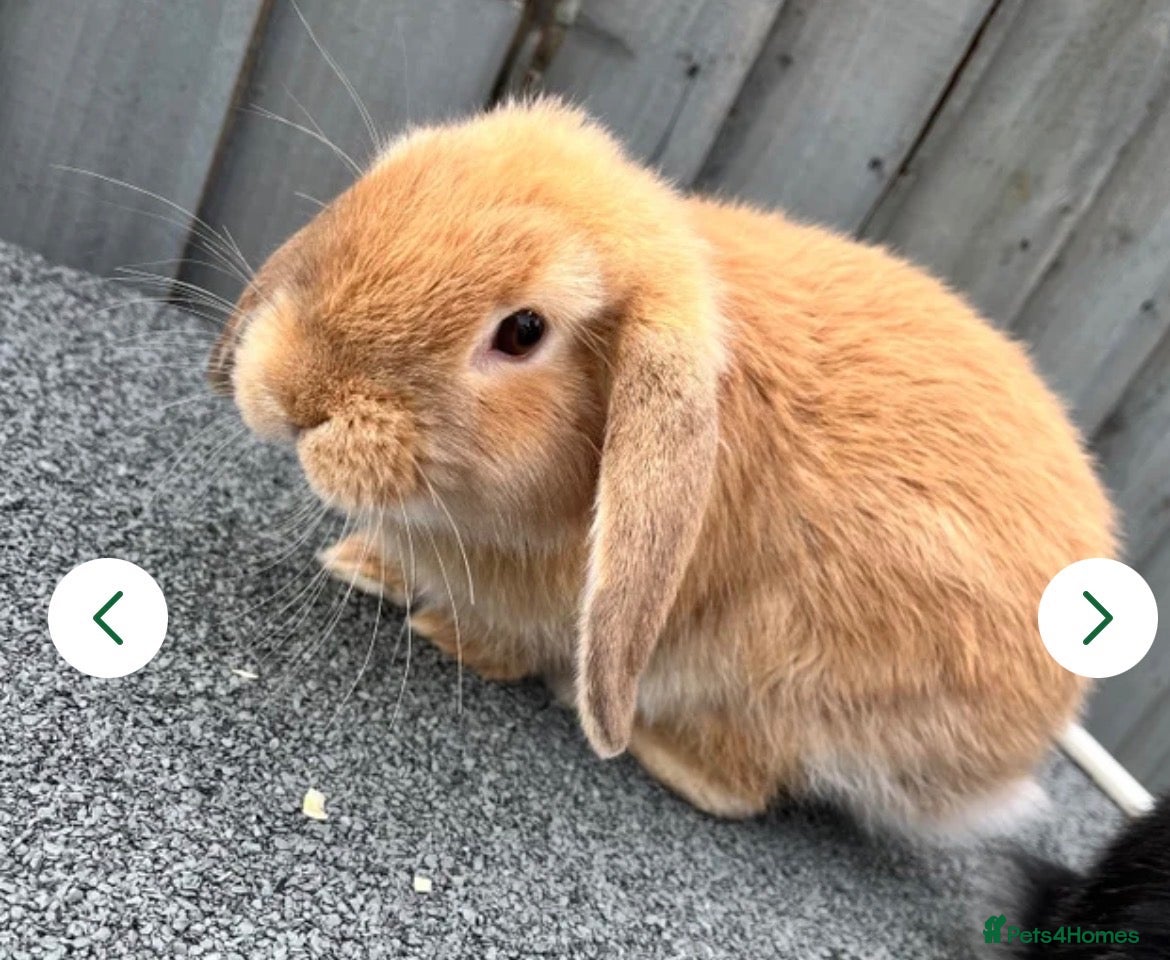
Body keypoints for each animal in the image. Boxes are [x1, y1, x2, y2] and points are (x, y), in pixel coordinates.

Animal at [209, 98, 1115, 833]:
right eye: (381, 188)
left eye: (523, 331)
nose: (293, 397)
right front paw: (360, 563)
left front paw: (443, 632)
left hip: (783, 682)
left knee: (744, 785)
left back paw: (638, 734)